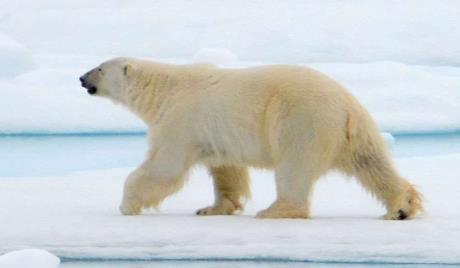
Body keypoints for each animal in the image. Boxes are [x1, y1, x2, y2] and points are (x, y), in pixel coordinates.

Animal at [80, 57, 424, 219]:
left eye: (100, 67)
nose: (81, 77)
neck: (163, 88)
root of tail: (346, 106)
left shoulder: (181, 119)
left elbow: (164, 167)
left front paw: (127, 204)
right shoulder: (214, 132)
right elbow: (226, 170)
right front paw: (212, 208)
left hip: (302, 121)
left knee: (293, 169)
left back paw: (275, 211)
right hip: (355, 132)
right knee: (372, 165)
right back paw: (402, 207)